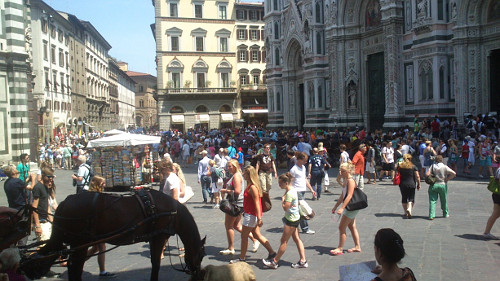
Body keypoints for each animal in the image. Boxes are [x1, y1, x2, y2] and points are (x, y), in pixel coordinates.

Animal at [20, 189, 205, 278]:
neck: (173, 212)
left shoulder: (154, 238)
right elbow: (156, 265)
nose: (198, 273)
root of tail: (65, 202)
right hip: (80, 243)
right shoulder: (159, 237)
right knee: (75, 269)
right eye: (202, 255)